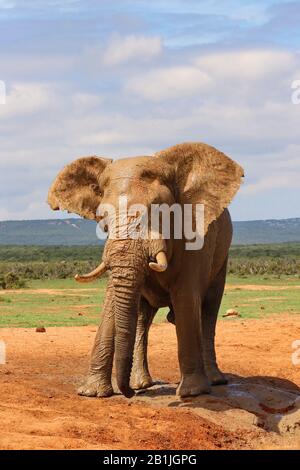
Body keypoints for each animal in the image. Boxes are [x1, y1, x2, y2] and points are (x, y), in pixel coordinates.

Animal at [47, 141, 244, 398]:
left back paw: (214, 381)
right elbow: (112, 300)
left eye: (159, 212)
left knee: (208, 310)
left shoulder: (195, 238)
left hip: (222, 254)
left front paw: (191, 393)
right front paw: (92, 393)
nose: (128, 393)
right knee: (143, 318)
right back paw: (143, 383)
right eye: (102, 218)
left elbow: (186, 298)